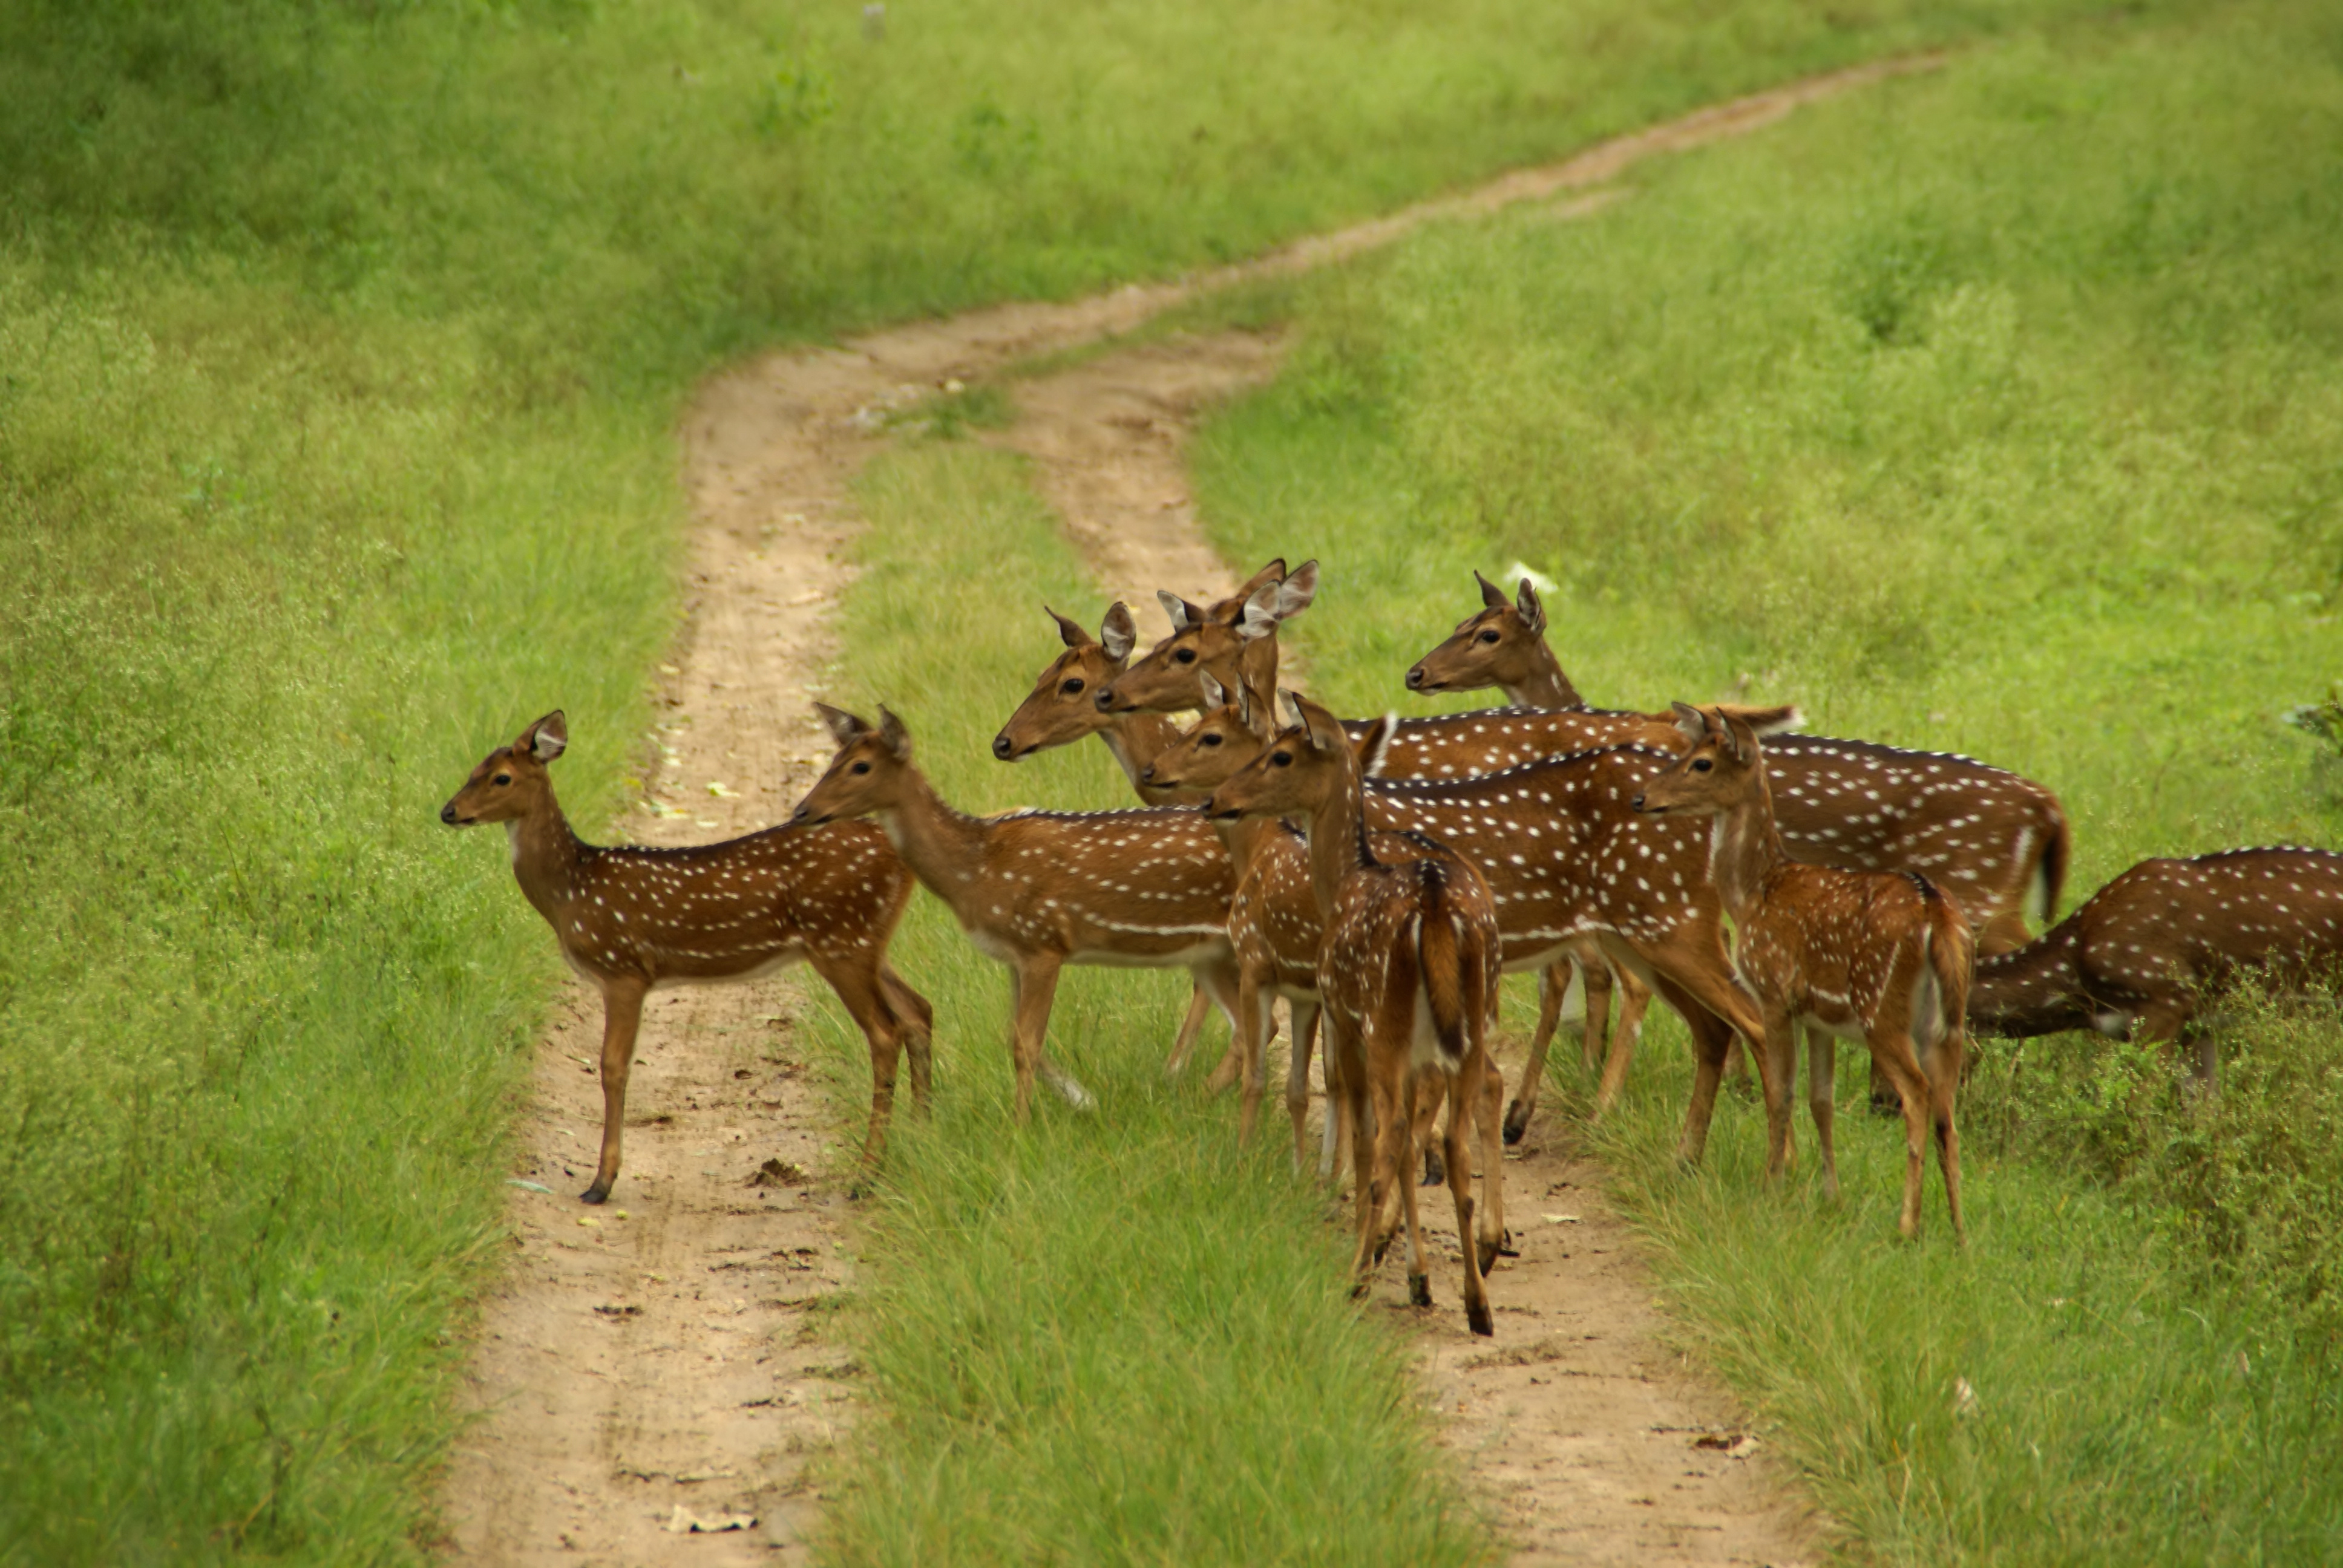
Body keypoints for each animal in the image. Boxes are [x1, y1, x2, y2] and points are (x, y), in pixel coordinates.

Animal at [439, 711, 935, 1205]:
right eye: (473, 770)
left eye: (502, 777)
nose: (449, 811)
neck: (571, 891)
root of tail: (898, 851)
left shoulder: (623, 969)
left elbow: (613, 1068)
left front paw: (601, 1184)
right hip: (866, 942)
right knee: (918, 1010)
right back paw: (917, 1138)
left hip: (839, 939)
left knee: (885, 1032)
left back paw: (867, 1177)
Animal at [789, 704, 1246, 1120]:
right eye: (834, 760)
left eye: (861, 766)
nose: (801, 810)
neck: (977, 871)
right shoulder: (1013, 954)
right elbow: (1015, 1033)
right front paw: (1081, 1098)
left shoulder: (1044, 942)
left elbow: (1026, 1043)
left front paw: (1024, 1123)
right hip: (1211, 954)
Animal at [1206, 694, 1507, 1336]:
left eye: (1282, 755)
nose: (1217, 799)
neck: (1342, 878)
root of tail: (1434, 906)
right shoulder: (1418, 1050)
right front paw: (1418, 1274)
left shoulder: (1344, 1016)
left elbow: (1362, 1131)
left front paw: (1385, 1261)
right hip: (1465, 1026)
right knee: (1455, 1142)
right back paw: (1477, 1303)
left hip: (1384, 1021)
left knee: (1391, 1138)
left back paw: (1358, 1276)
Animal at [1633, 704, 1974, 1242]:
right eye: (1687, 751)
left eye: (1702, 763)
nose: (1641, 798)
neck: (1753, 892)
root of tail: (1934, 913)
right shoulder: (1819, 1018)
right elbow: (1821, 1101)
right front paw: (1829, 1195)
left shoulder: (1775, 993)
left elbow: (1781, 1092)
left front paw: (1771, 1185)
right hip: (1949, 1018)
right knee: (1948, 1113)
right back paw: (1960, 1234)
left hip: (1881, 1007)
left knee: (1918, 1096)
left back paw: (1907, 1226)